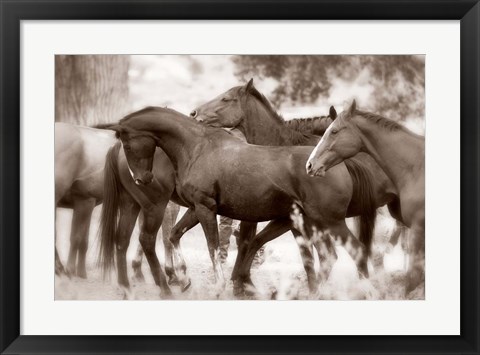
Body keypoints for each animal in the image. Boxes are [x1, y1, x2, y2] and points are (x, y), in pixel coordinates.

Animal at [100, 107, 378, 296]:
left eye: (127, 143)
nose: (142, 179)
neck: (197, 147)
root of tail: (335, 166)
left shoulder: (205, 208)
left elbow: (212, 246)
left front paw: (220, 285)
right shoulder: (198, 208)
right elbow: (176, 235)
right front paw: (186, 278)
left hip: (327, 222)